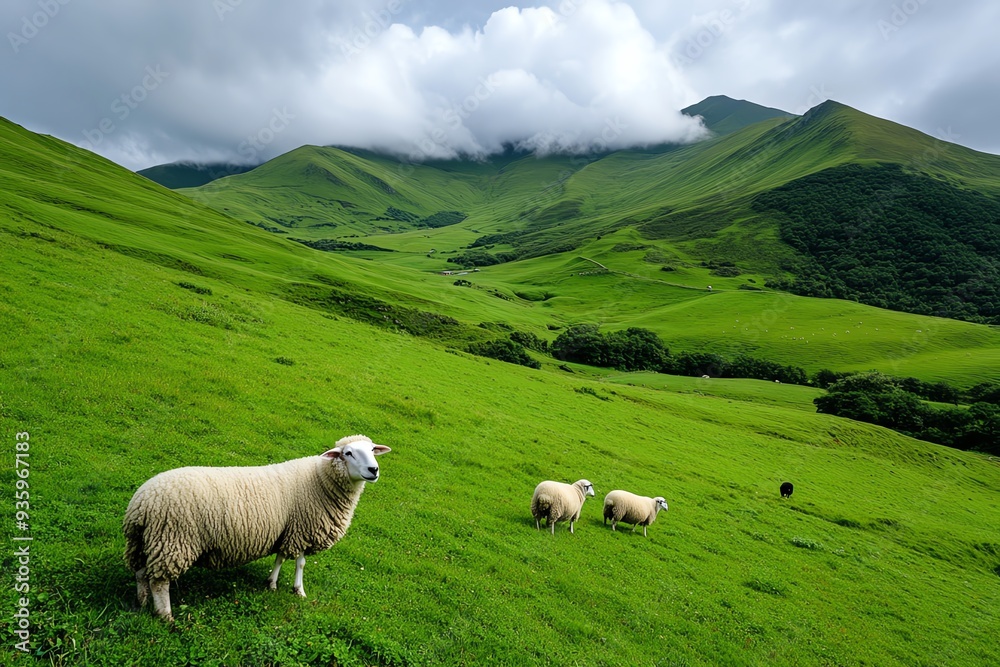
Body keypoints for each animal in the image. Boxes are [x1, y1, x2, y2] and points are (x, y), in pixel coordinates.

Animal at [123, 434, 390, 621]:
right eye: (348, 453)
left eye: (372, 450)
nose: (374, 470)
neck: (319, 480)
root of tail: (141, 504)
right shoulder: (302, 529)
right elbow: (300, 563)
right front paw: (299, 590)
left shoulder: (287, 530)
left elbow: (280, 557)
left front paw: (271, 583)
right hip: (173, 541)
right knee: (159, 583)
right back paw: (165, 616)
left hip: (145, 542)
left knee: (141, 573)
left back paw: (142, 602)